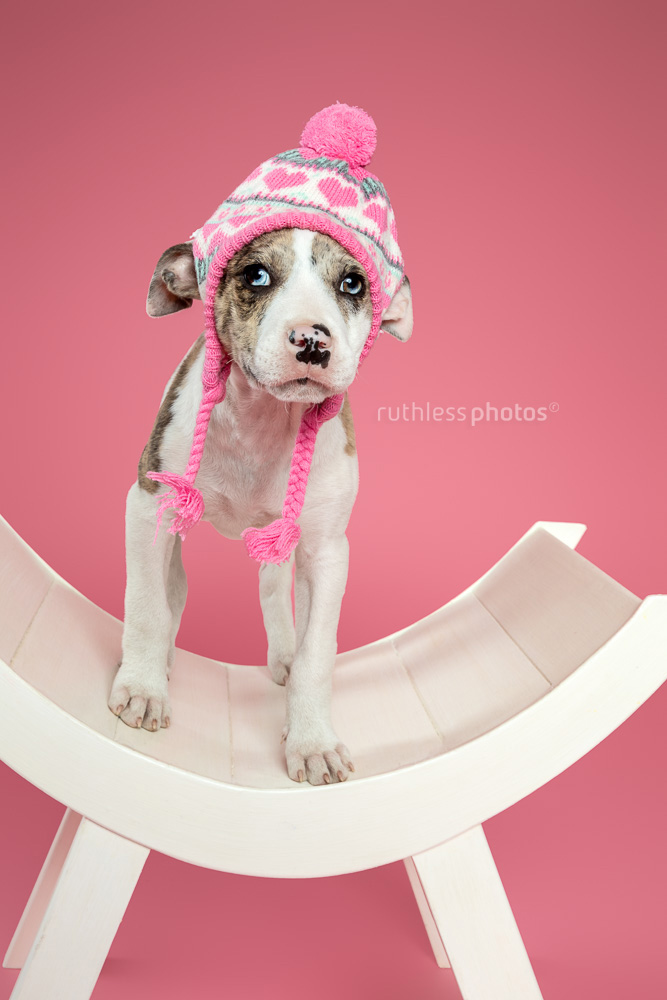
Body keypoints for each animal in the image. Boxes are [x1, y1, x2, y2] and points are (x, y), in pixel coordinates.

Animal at [109, 230, 412, 784]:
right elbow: (145, 605)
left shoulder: (326, 552)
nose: (312, 340)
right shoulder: (148, 504)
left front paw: (312, 743)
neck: (264, 417)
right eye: (256, 276)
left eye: (353, 284)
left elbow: (318, 652)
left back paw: (284, 653)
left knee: (273, 588)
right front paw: (142, 687)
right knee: (172, 593)